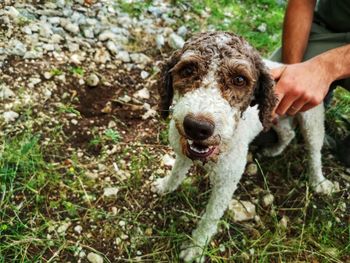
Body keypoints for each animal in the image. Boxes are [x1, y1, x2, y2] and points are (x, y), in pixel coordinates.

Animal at [152, 32, 338, 262]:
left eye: (239, 80)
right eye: (187, 70)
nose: (197, 127)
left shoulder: (227, 180)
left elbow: (210, 216)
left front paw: (196, 246)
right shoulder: (182, 151)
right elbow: (177, 173)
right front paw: (165, 186)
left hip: (312, 120)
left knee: (314, 151)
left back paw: (319, 182)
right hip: (275, 116)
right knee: (288, 133)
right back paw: (274, 150)